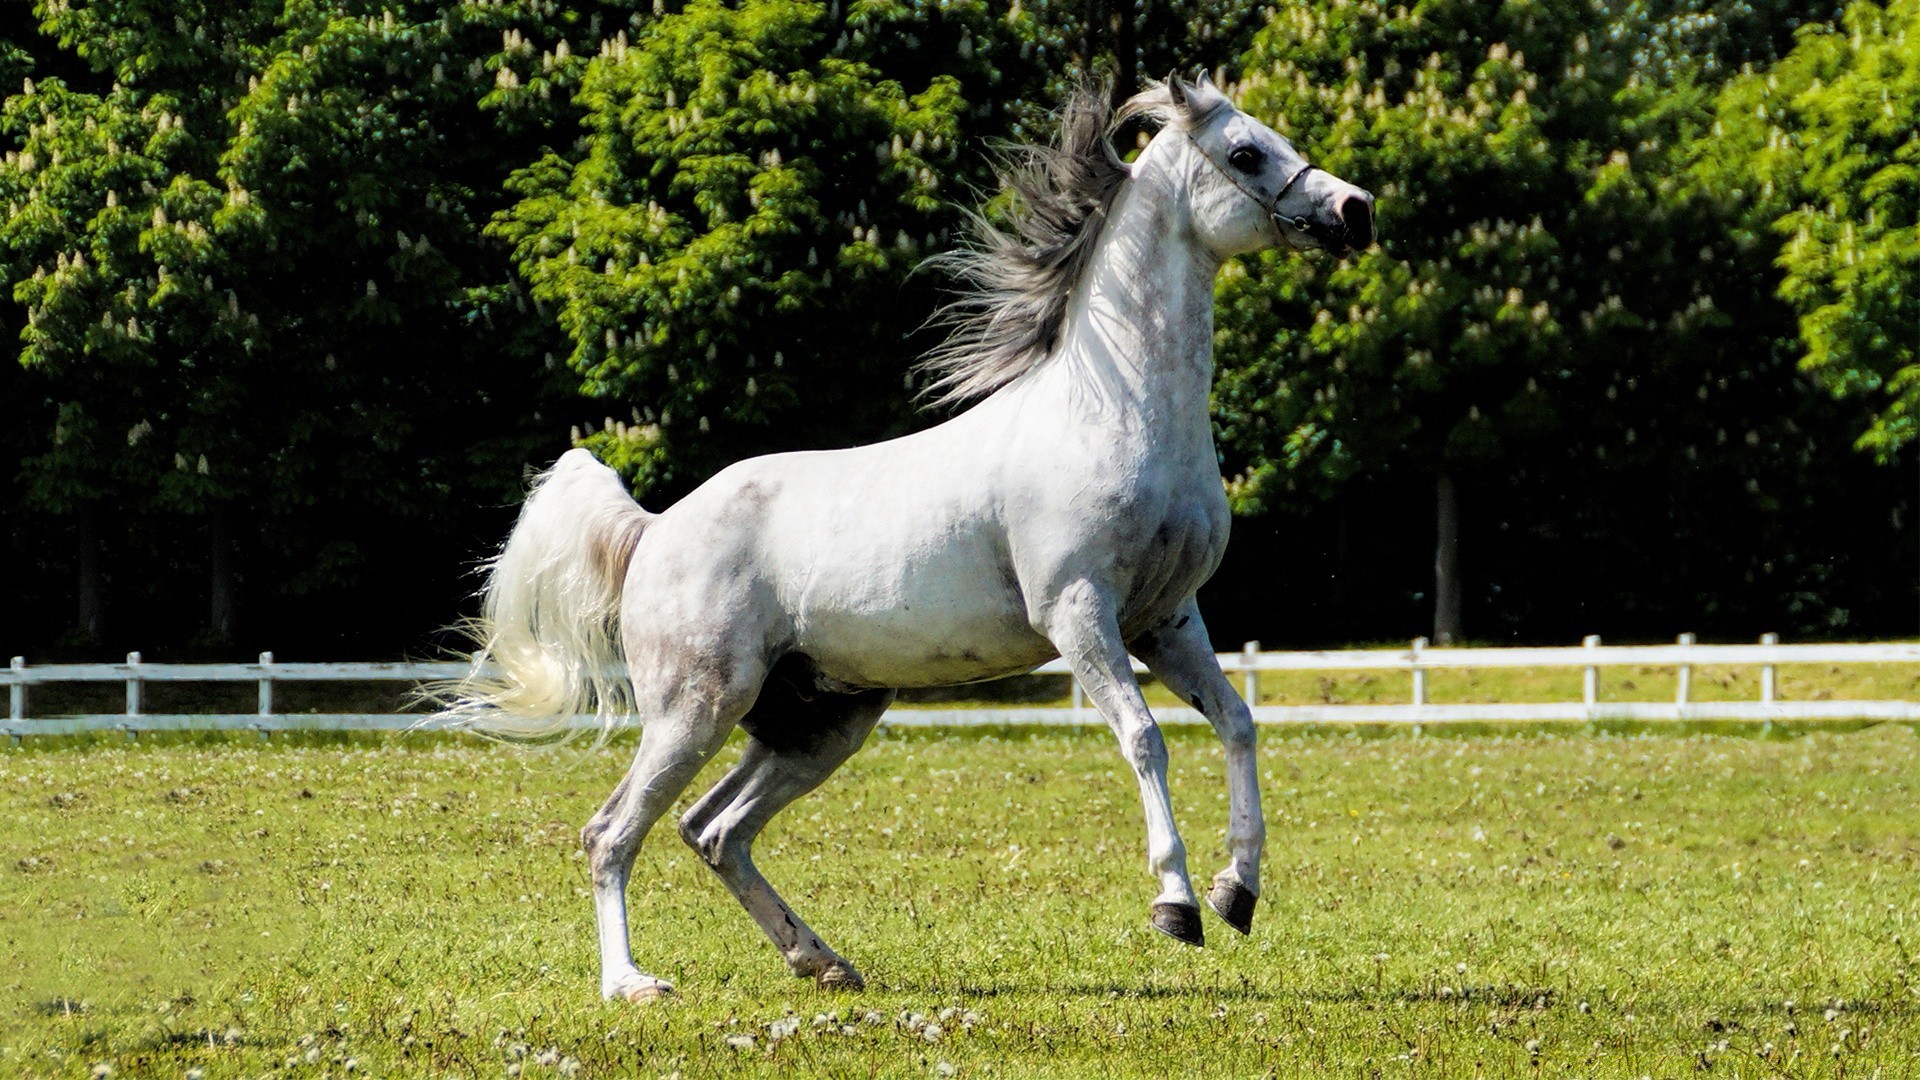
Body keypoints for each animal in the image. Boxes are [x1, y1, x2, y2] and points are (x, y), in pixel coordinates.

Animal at [439, 73, 1367, 999]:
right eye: (1245, 152)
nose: (1352, 211)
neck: (1114, 412)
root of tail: (654, 528)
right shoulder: (1080, 615)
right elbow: (1144, 737)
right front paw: (1176, 904)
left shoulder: (1167, 620)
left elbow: (1238, 722)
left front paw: (1237, 891)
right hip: (696, 707)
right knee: (613, 832)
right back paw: (632, 983)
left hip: (821, 721)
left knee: (714, 830)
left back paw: (822, 961)